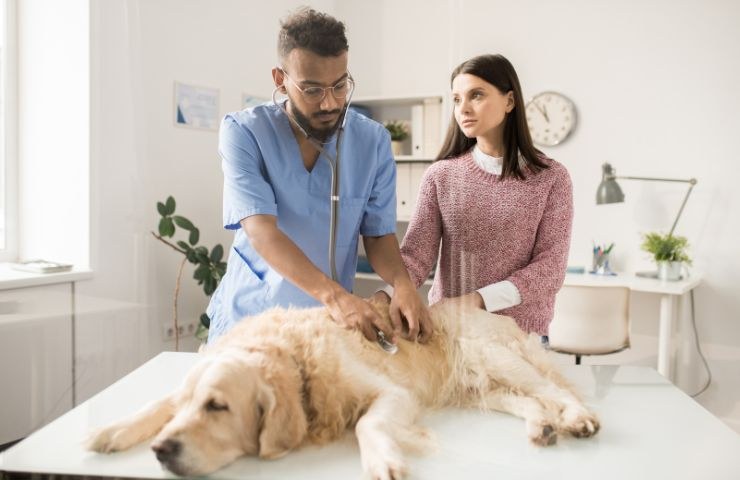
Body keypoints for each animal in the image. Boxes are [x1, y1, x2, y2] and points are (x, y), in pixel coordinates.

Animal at [86, 302, 600, 478]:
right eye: (189, 406)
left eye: (218, 406)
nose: (162, 451)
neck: (295, 358)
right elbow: (156, 401)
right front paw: (111, 430)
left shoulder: (394, 396)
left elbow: (367, 424)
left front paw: (384, 461)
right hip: (481, 385)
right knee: (528, 399)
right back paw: (541, 427)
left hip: (494, 356)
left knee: (554, 389)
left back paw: (577, 419)